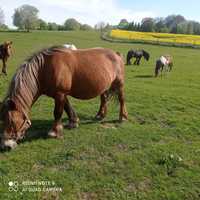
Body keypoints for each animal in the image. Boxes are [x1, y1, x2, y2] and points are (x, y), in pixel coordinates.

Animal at [0, 46, 128, 150]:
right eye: (2, 120)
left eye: (11, 121)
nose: (6, 145)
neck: (44, 69)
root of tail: (116, 54)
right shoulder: (61, 95)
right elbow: (67, 108)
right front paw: (73, 122)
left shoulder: (60, 94)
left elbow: (57, 112)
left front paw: (54, 132)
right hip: (103, 87)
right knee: (104, 99)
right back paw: (100, 115)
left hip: (119, 84)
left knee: (121, 100)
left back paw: (122, 117)